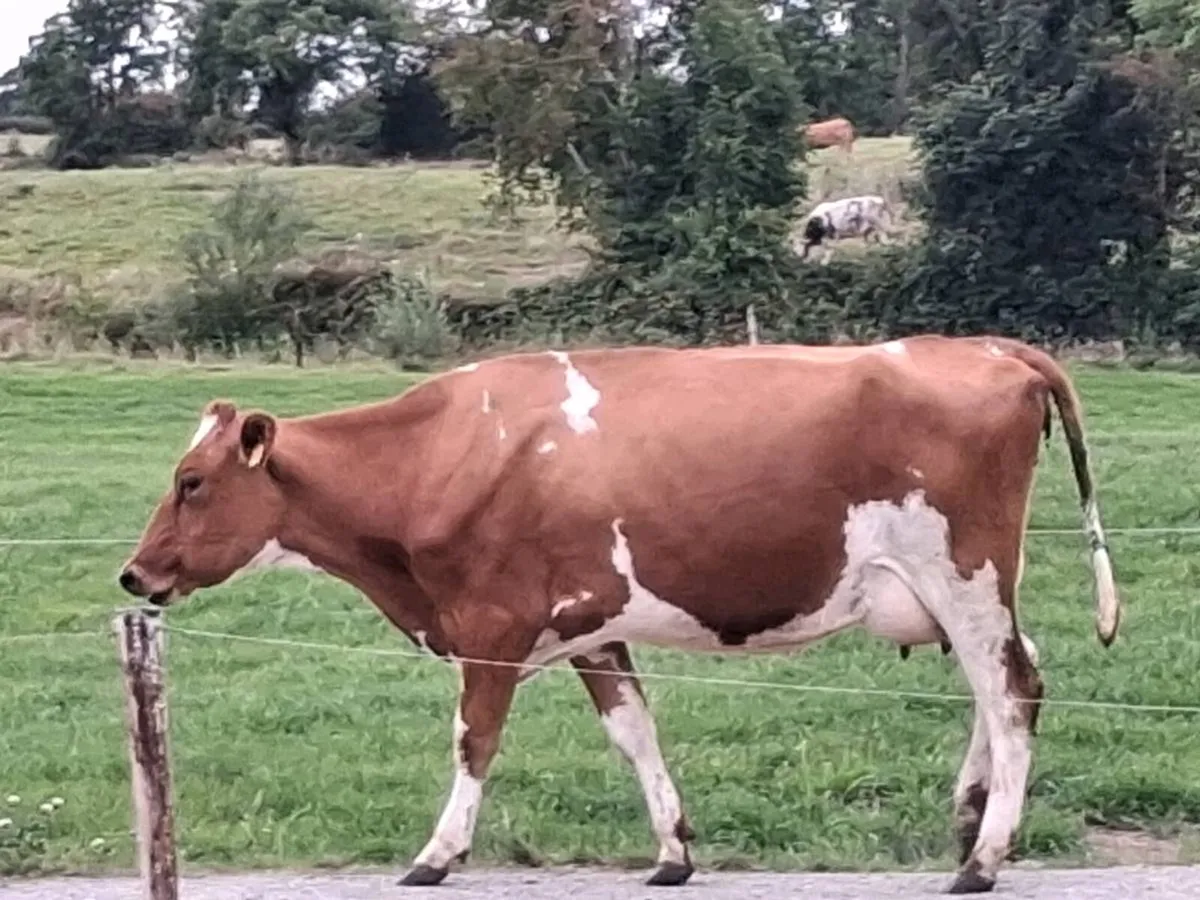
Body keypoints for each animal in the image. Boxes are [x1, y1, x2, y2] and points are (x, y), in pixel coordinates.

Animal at [118, 335, 1121, 895]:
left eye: (191, 481)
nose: (134, 574)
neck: (434, 456)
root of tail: (988, 346)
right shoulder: (590, 632)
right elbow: (635, 733)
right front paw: (674, 851)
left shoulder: (492, 626)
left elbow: (473, 741)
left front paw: (438, 854)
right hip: (964, 589)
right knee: (1005, 681)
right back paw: (970, 813)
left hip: (963, 572)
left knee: (1013, 689)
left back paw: (982, 859)